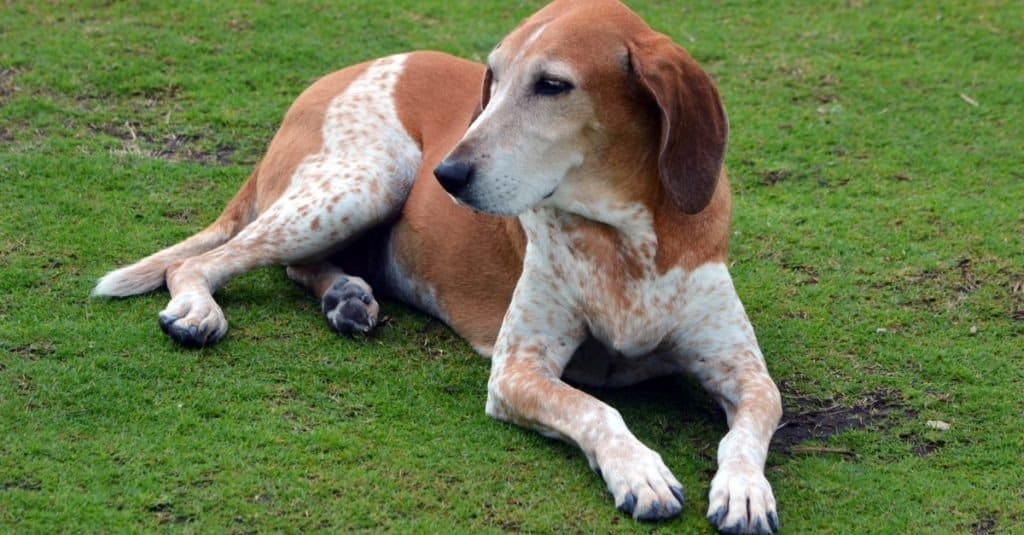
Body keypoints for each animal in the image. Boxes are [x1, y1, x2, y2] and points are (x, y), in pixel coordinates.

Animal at [94, 0, 782, 528]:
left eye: (553, 85)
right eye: (492, 77)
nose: (446, 175)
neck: (623, 238)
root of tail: (333, 76)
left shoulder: (743, 368)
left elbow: (755, 420)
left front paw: (744, 488)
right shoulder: (516, 372)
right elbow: (597, 409)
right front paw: (639, 470)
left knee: (300, 267)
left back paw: (345, 296)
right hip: (366, 180)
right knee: (205, 263)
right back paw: (199, 309)